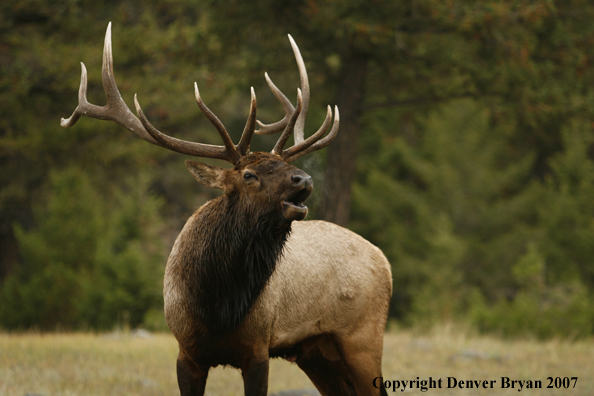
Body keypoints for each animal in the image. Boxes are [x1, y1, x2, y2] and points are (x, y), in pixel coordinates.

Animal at [61, 22, 394, 396]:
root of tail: (384, 261)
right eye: (249, 175)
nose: (304, 179)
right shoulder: (187, 352)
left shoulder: (258, 348)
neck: (216, 307)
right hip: (317, 351)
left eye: (283, 165)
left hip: (362, 337)